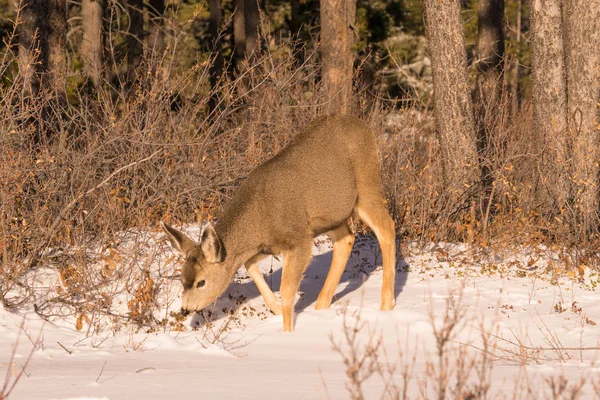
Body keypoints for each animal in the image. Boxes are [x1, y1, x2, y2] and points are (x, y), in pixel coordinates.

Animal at [163, 115, 398, 332]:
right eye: (182, 279)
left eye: (201, 282)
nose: (185, 309)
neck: (260, 217)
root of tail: (362, 124)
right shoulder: (267, 245)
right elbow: (249, 265)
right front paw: (275, 308)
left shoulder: (298, 238)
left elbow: (287, 290)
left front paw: (287, 332)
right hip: (330, 215)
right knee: (346, 239)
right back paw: (321, 306)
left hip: (366, 184)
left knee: (386, 226)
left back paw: (386, 304)